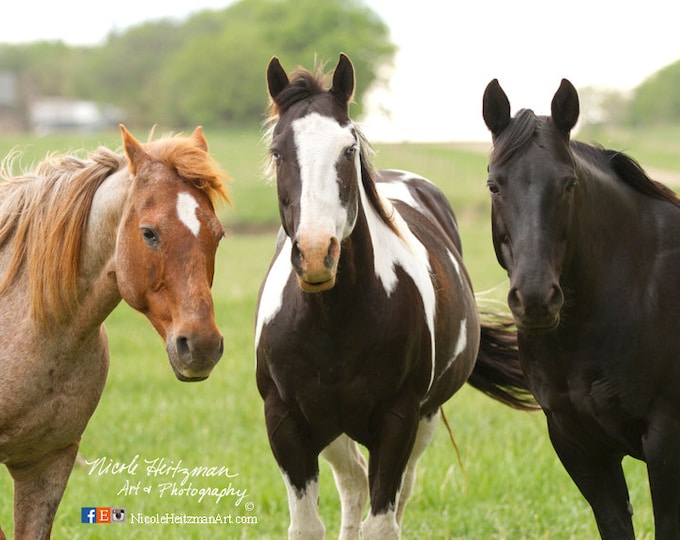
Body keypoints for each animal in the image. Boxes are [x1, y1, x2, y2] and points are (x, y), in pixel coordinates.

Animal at [255, 54, 536, 540]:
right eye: (277, 151)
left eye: (348, 149)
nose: (316, 254)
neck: (332, 320)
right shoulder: (287, 423)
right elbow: (310, 525)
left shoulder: (398, 420)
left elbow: (383, 521)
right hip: (333, 430)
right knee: (352, 483)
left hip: (424, 420)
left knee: (397, 491)